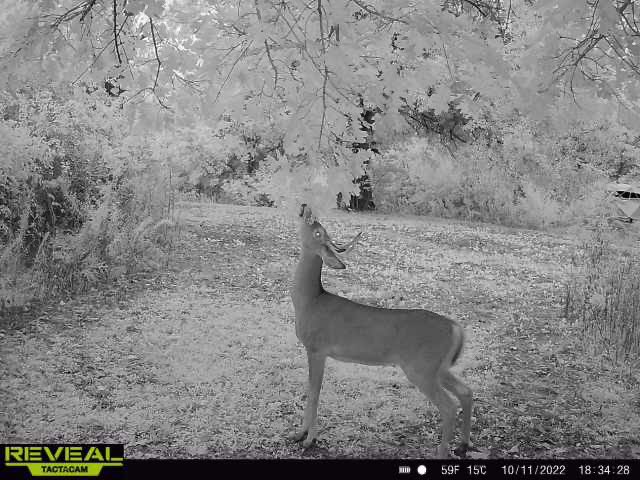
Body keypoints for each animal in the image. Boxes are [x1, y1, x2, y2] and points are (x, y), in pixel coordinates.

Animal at [289, 204, 472, 458]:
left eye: (318, 231)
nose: (306, 208)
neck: (310, 301)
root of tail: (456, 329)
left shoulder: (317, 348)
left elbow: (314, 392)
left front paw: (307, 439)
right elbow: (311, 391)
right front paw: (300, 434)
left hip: (422, 369)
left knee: (449, 406)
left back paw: (443, 452)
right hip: (439, 368)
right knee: (466, 391)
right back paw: (462, 445)